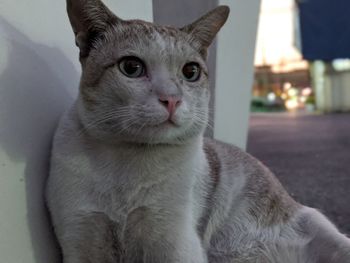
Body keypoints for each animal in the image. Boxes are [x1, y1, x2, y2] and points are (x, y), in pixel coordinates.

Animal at [46, 0, 350, 263]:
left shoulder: (175, 243)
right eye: (131, 67)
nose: (171, 99)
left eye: (190, 71)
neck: (127, 162)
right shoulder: (81, 238)